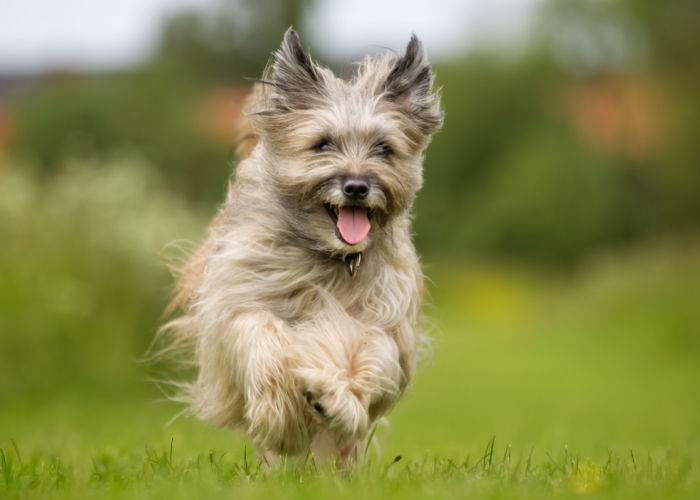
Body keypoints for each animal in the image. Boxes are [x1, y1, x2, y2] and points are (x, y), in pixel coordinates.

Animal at [159, 27, 442, 462]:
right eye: (322, 144)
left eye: (384, 148)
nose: (357, 187)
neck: (328, 256)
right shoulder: (238, 302)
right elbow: (263, 334)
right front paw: (284, 421)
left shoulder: (382, 320)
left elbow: (364, 352)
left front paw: (335, 398)